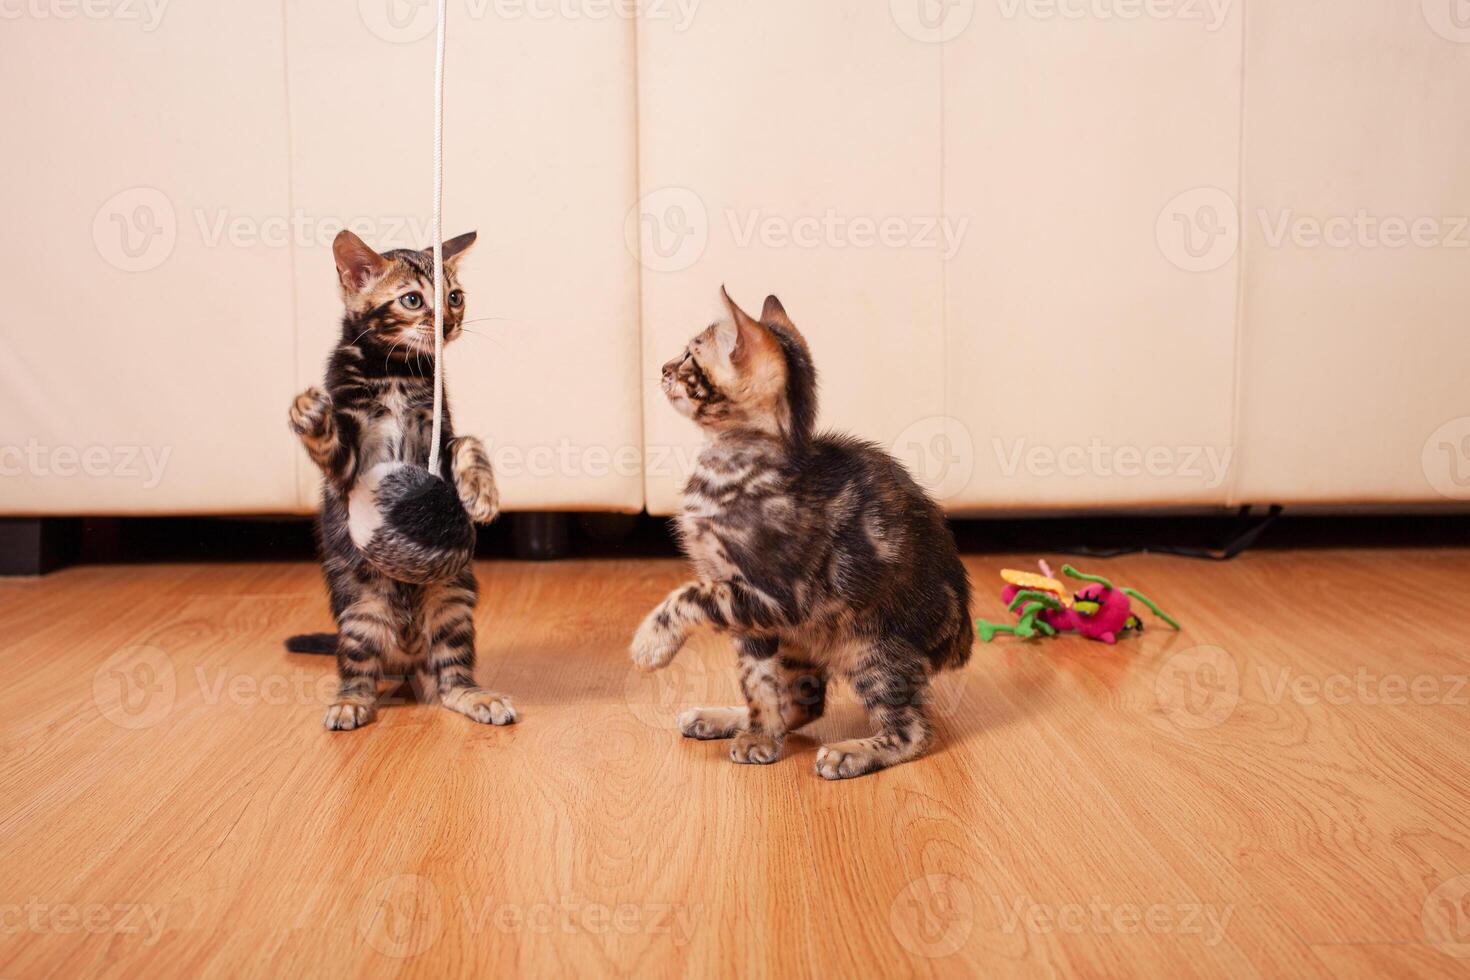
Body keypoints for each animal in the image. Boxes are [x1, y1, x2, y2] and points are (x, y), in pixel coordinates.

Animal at [288, 230, 517, 731]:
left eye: (455, 297)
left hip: (452, 603)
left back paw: (476, 697)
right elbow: (330, 445)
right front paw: (310, 415)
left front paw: (481, 491)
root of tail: (407, 655)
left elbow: (469, 442)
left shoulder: (441, 431)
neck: (394, 371)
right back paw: (350, 702)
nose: (449, 325)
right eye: (412, 300)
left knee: (450, 679)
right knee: (357, 670)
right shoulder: (348, 468)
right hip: (361, 612)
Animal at [629, 285, 964, 781]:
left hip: (871, 647)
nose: (664, 367)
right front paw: (759, 736)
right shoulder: (753, 618)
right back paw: (722, 717)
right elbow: (757, 680)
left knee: (914, 731)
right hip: (802, 639)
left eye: (691, 354)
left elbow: (687, 596)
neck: (732, 466)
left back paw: (851, 753)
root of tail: (960, 635)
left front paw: (651, 643)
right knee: (803, 704)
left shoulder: (771, 595)